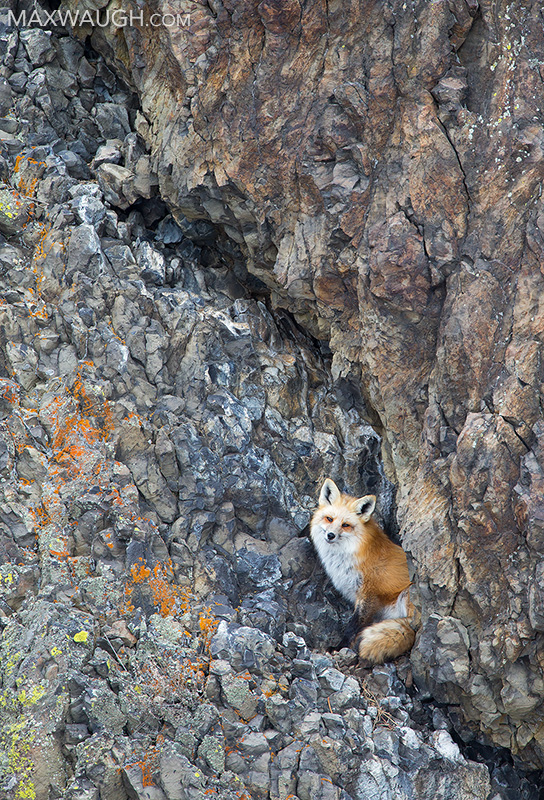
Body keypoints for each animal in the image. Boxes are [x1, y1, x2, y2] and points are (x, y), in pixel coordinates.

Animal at [310, 478, 415, 663]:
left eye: (345, 525)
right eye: (329, 519)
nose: (330, 535)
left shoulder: (369, 593)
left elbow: (354, 624)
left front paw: (340, 646)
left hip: (406, 596)